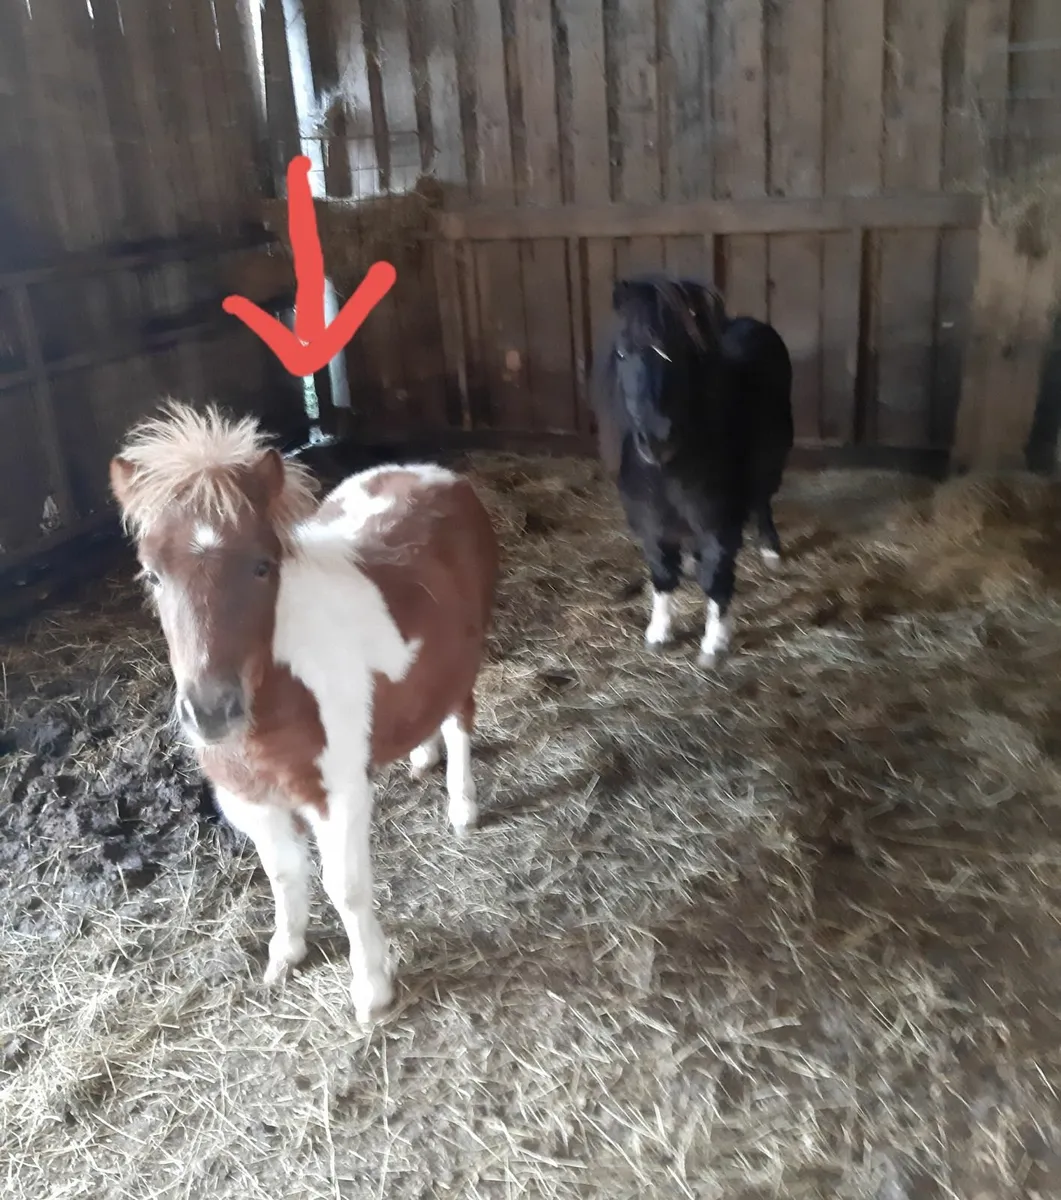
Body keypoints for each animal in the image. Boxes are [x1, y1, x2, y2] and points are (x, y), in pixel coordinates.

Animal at [109, 401, 500, 1023]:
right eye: (152, 573)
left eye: (262, 566)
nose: (212, 712)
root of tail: (434, 473)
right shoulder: (250, 799)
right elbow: (283, 872)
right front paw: (285, 954)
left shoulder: (337, 795)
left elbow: (346, 887)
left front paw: (372, 990)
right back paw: (420, 755)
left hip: (467, 655)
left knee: (460, 717)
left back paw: (462, 805)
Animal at [591, 273, 794, 666]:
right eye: (622, 353)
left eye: (681, 351)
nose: (656, 439)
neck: (667, 471)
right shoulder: (650, 524)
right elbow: (662, 574)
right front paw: (659, 632)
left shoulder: (718, 522)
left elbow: (716, 577)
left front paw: (714, 644)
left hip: (770, 462)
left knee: (762, 501)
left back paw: (770, 551)